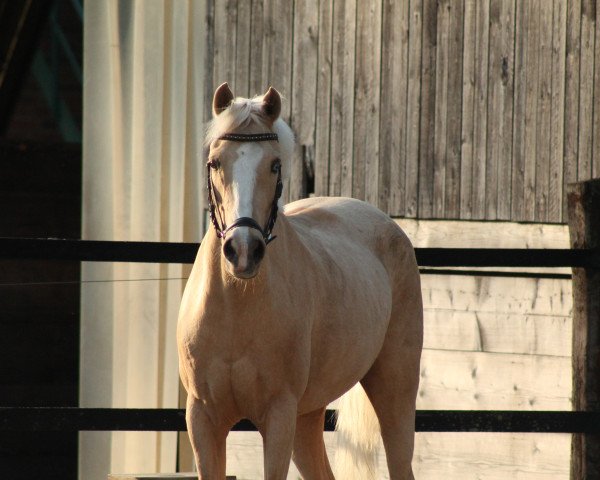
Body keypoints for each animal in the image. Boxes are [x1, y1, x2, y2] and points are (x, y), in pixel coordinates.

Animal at [176, 83, 424, 480]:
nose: (243, 251)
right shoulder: (202, 419)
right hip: (308, 417)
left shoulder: (279, 416)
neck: (236, 309)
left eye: (274, 165)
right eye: (215, 163)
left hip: (394, 391)